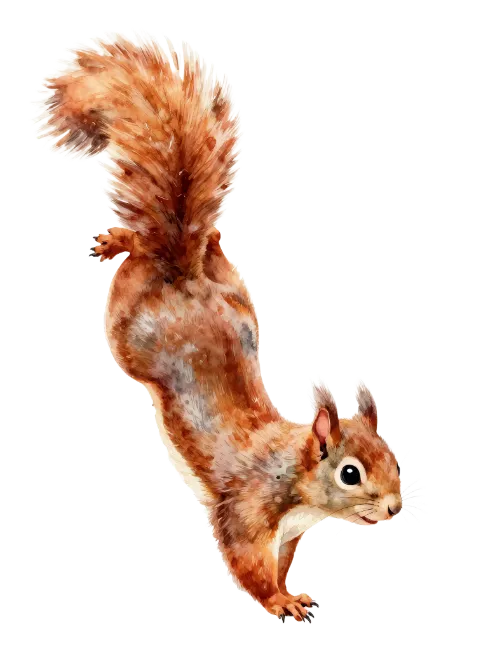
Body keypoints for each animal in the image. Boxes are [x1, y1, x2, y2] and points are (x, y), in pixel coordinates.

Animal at [36, 35, 403, 623]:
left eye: (394, 458)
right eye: (351, 473)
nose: (395, 509)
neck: (295, 477)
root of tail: (182, 267)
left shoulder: (290, 531)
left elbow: (281, 558)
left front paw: (291, 589)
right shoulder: (248, 510)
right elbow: (246, 561)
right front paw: (279, 601)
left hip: (234, 287)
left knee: (195, 242)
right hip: (128, 328)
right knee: (140, 256)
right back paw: (120, 243)